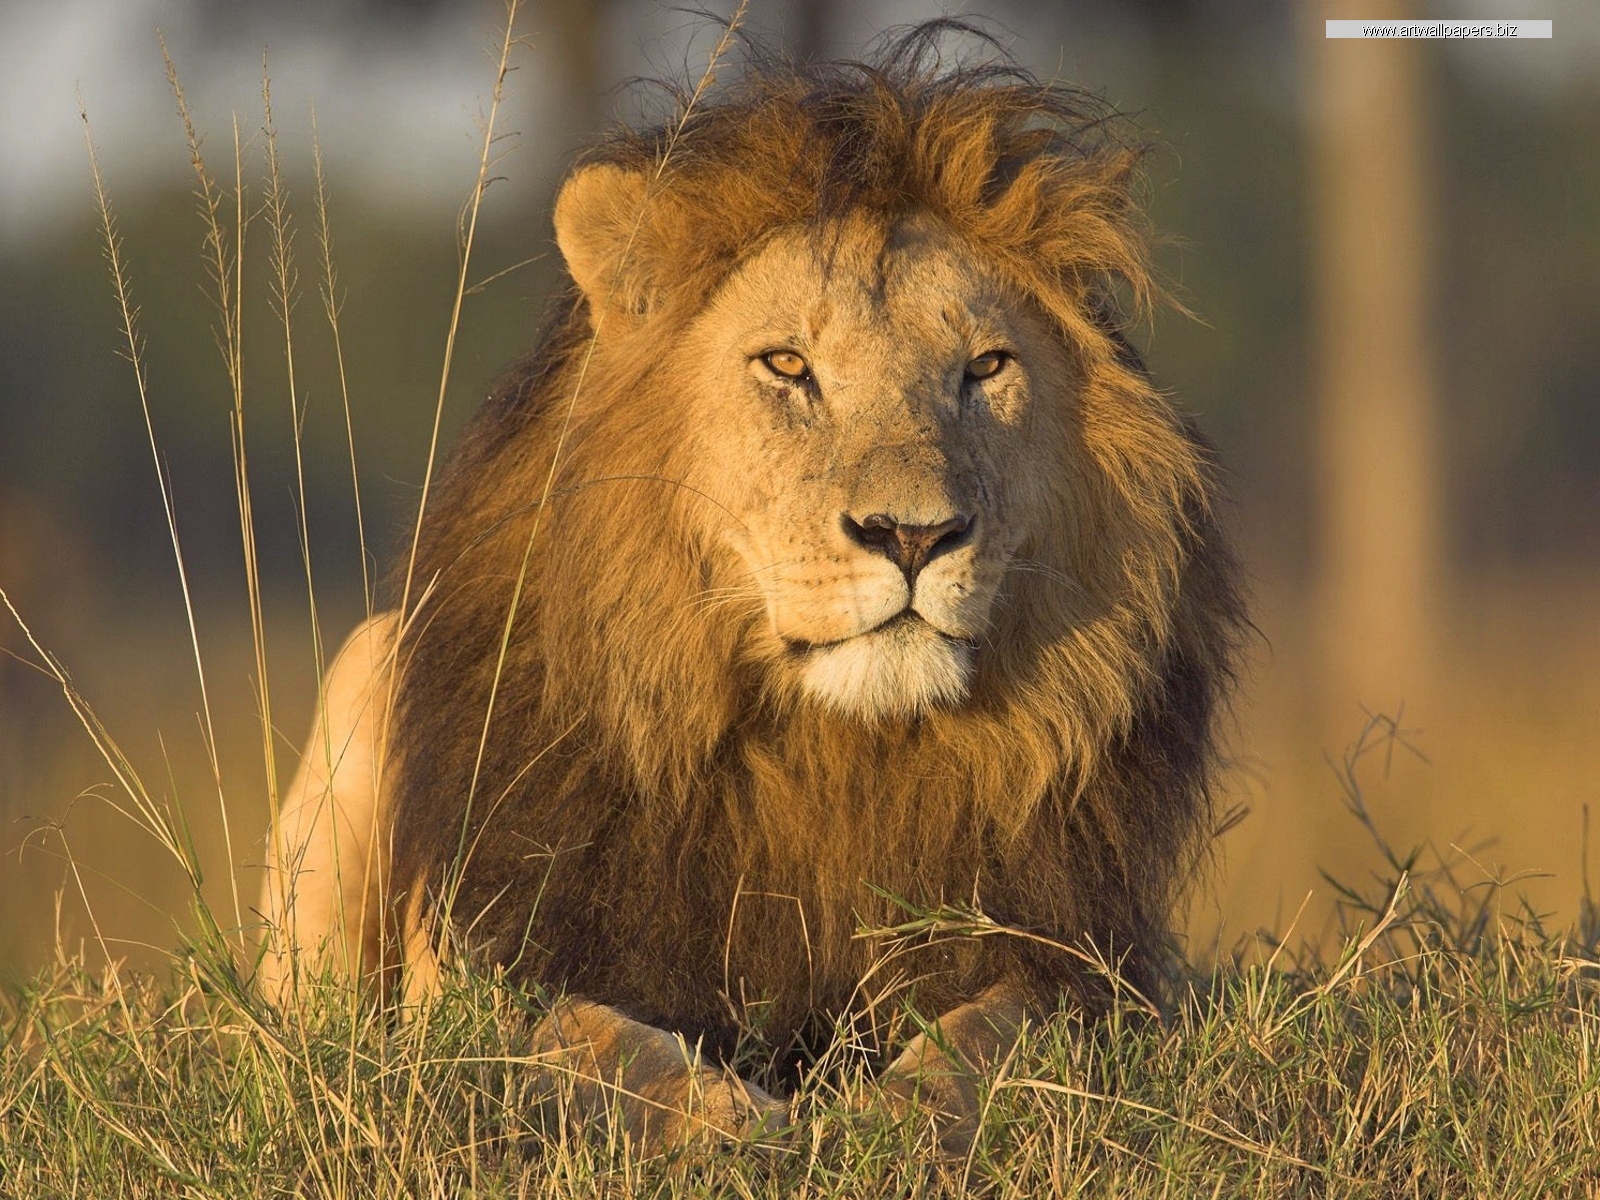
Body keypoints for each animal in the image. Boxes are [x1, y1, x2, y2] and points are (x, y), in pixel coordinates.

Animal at [256, 28, 1241, 1158]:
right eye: (786, 365)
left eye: (986, 367)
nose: (914, 534)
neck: (834, 756)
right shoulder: (493, 961)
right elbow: (594, 1045)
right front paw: (734, 1126)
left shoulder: (1084, 959)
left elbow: (993, 1035)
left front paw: (889, 1121)